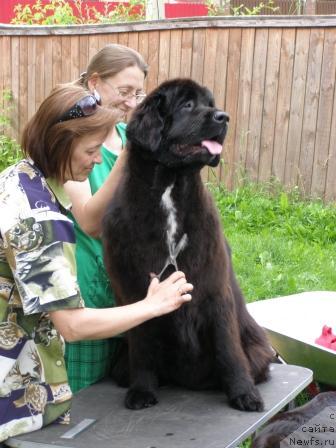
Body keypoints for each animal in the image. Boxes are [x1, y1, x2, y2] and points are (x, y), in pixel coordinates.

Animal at [101, 78, 272, 412]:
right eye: (187, 105)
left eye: (211, 103)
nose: (224, 117)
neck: (171, 187)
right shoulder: (136, 292)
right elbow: (142, 346)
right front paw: (142, 391)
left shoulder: (214, 291)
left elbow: (228, 349)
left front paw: (244, 393)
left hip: (259, 352)